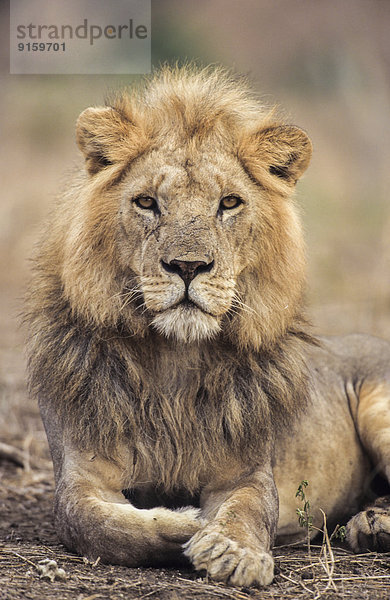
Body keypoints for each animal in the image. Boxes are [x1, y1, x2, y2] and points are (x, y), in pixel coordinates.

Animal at [25, 64, 390, 584]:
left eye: (230, 203)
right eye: (146, 202)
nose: (188, 266)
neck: (174, 360)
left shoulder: (248, 474)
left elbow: (247, 510)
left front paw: (232, 551)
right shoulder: (79, 477)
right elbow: (99, 525)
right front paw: (188, 521)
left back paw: (373, 523)